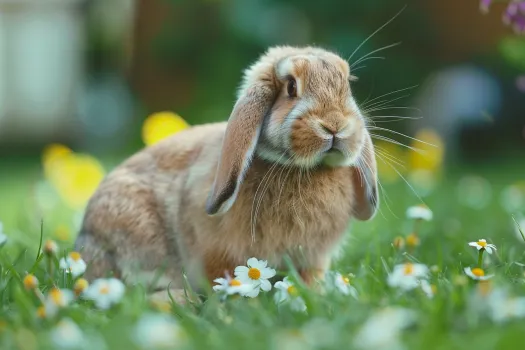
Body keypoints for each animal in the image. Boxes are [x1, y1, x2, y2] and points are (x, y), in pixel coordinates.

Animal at [73, 45, 376, 298]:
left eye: (347, 84)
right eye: (291, 87)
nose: (335, 125)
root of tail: (84, 241)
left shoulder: (313, 258)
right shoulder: (215, 250)